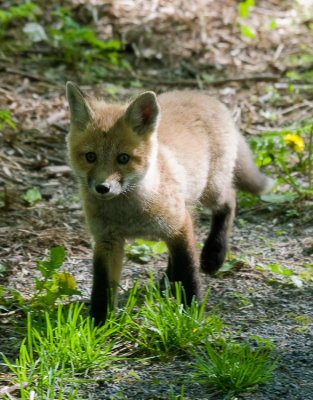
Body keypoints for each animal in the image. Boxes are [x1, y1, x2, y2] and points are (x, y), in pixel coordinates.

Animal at [66, 82, 272, 324]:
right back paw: (167, 282)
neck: (128, 216)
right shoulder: (107, 240)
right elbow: (102, 287)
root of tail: (202, 95)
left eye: (123, 158)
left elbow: (188, 271)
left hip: (211, 191)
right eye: (90, 157)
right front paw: (97, 324)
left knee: (230, 200)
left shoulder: (179, 224)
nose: (102, 188)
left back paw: (214, 253)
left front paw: (193, 314)